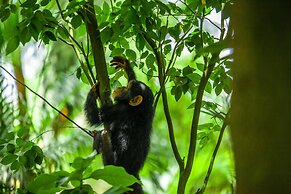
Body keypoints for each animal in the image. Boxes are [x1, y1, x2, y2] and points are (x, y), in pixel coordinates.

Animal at [84, 55, 155, 192]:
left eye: (128, 88)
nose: (121, 88)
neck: (140, 107)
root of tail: (132, 174)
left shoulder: (119, 109)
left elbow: (95, 117)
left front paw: (94, 90)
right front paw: (125, 65)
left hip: (112, 166)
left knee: (104, 134)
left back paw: (98, 139)